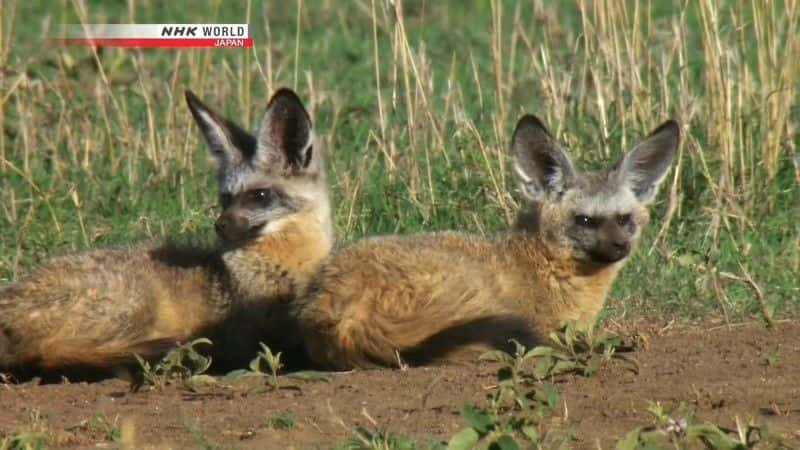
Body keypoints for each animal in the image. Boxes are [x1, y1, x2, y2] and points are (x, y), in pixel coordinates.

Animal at [0, 87, 332, 376]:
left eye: (260, 196)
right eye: (226, 198)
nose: (220, 225)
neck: (286, 264)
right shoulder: (254, 331)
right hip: (137, 305)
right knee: (54, 354)